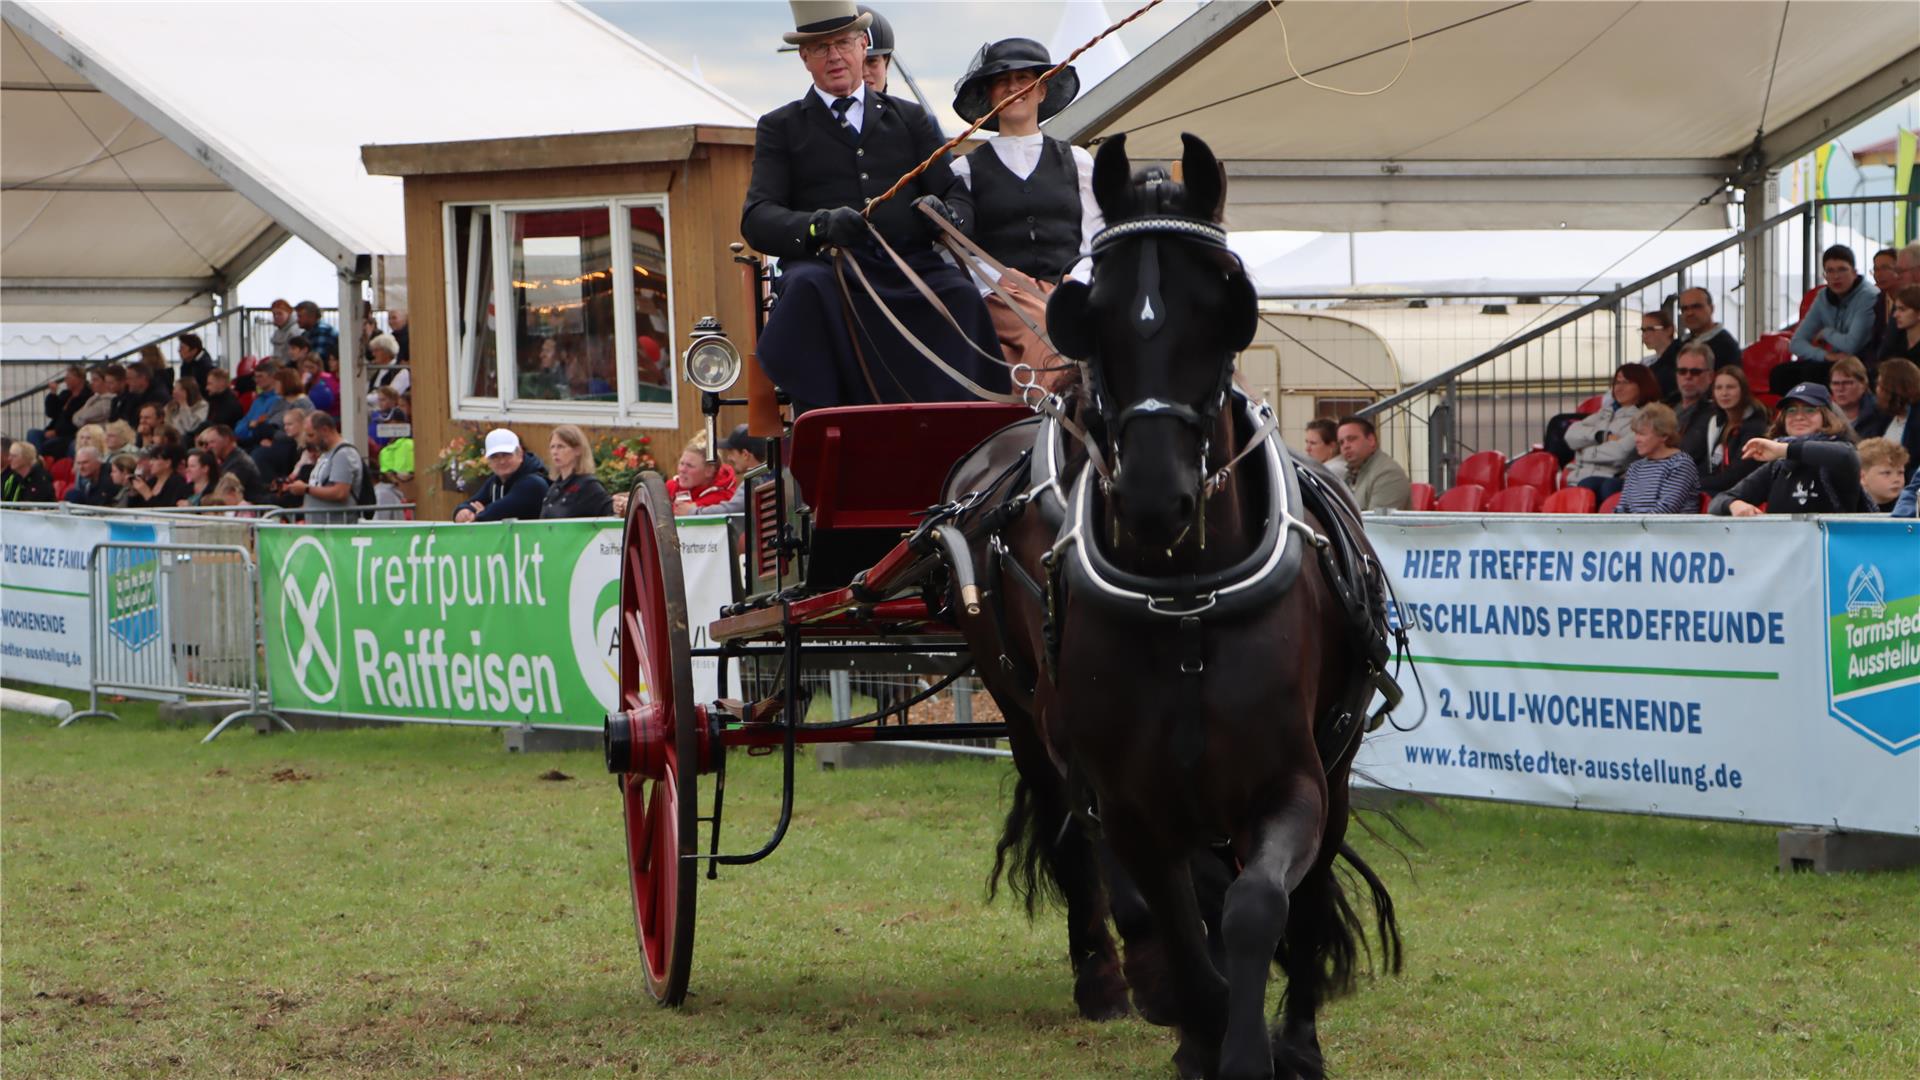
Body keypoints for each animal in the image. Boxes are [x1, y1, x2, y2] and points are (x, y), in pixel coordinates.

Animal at [940, 134, 1397, 1076]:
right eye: (1095, 312)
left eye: (1225, 307)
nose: (1155, 499)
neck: (1186, 604)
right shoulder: (1128, 799)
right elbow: (1179, 923)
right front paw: (1198, 1026)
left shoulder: (1292, 782)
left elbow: (1257, 907)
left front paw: (1262, 1046)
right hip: (1027, 721)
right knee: (1085, 851)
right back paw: (1112, 981)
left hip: (1332, 768)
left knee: (1306, 891)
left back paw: (1295, 1032)